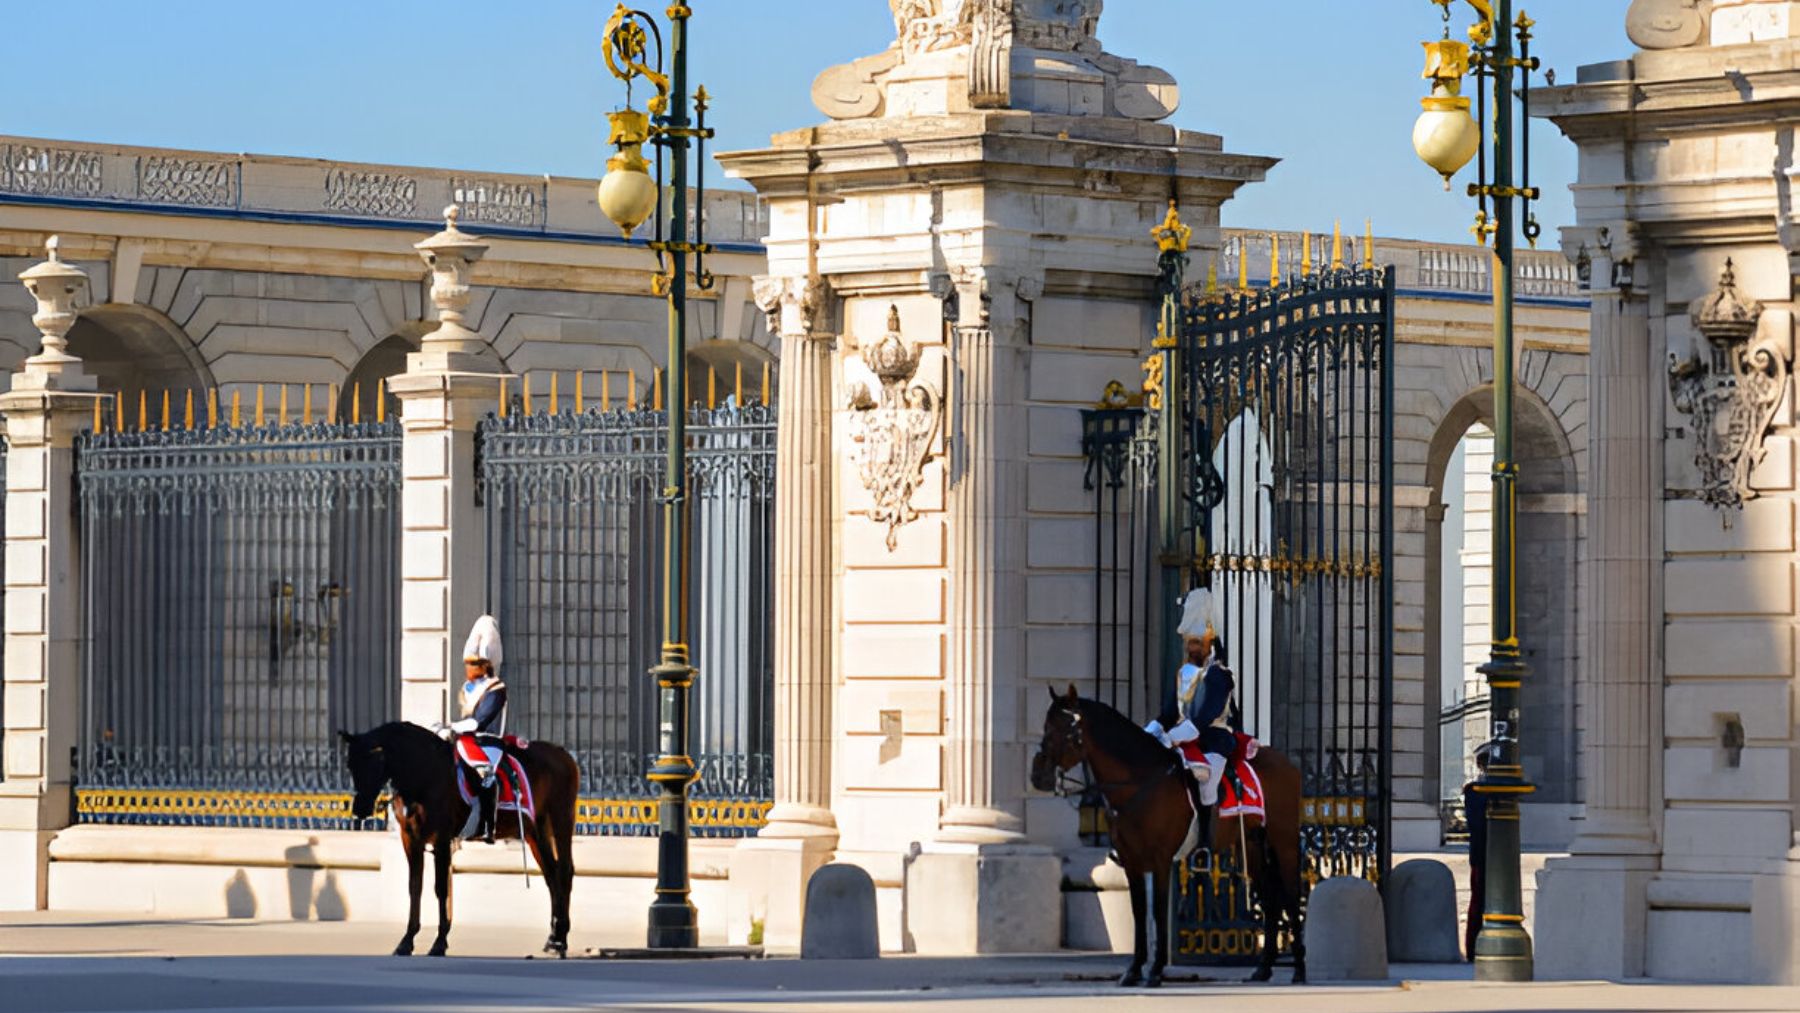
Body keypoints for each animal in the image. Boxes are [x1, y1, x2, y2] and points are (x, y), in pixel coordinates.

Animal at [340, 719, 579, 957]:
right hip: (535, 830)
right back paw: (553, 937)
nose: (359, 809)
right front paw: (407, 940)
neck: (423, 773)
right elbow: (414, 887)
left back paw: (561, 939)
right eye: (350, 765)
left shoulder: (442, 840)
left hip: (561, 818)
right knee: (551, 874)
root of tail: (561, 752)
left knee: (564, 871)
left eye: (372, 762)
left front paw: (439, 941)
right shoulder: (410, 839)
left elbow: (441, 888)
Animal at [1029, 687, 1310, 986]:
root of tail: (1287, 763)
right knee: (1270, 898)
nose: (1038, 776)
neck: (1140, 780)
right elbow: (1139, 911)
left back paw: (1299, 970)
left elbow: (1158, 909)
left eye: (1067, 730)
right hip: (1253, 845)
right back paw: (1263, 968)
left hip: (1283, 840)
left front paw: (1155, 969)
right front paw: (1133, 970)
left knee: (1291, 894)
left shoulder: (1161, 859)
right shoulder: (1131, 860)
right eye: (1046, 726)